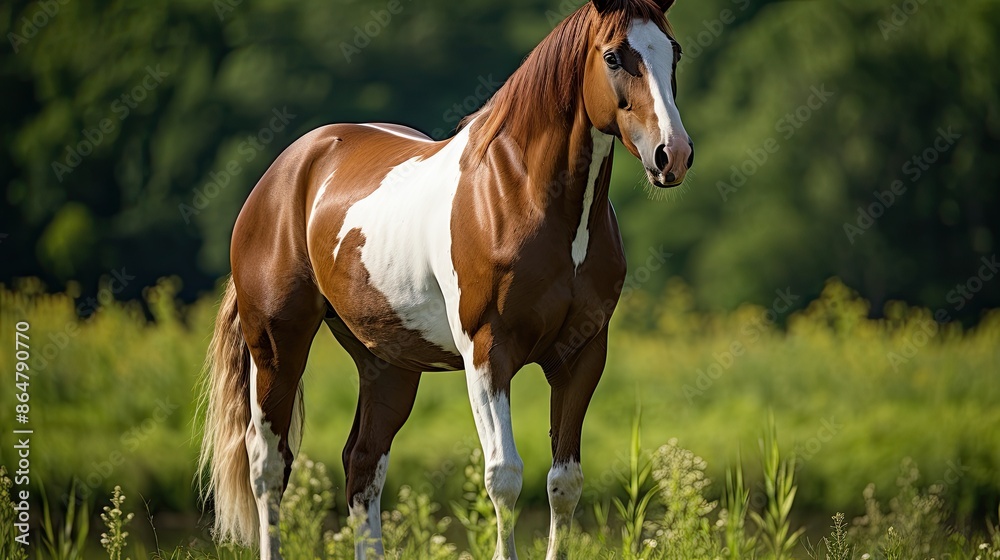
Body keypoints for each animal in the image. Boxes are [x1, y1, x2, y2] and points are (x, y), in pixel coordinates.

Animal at [198, 0, 692, 558]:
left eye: (673, 51)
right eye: (612, 55)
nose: (672, 154)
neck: (527, 195)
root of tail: (283, 172)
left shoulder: (581, 356)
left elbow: (564, 483)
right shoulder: (488, 353)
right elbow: (505, 478)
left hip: (387, 364)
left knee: (362, 463)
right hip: (276, 347)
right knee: (269, 465)